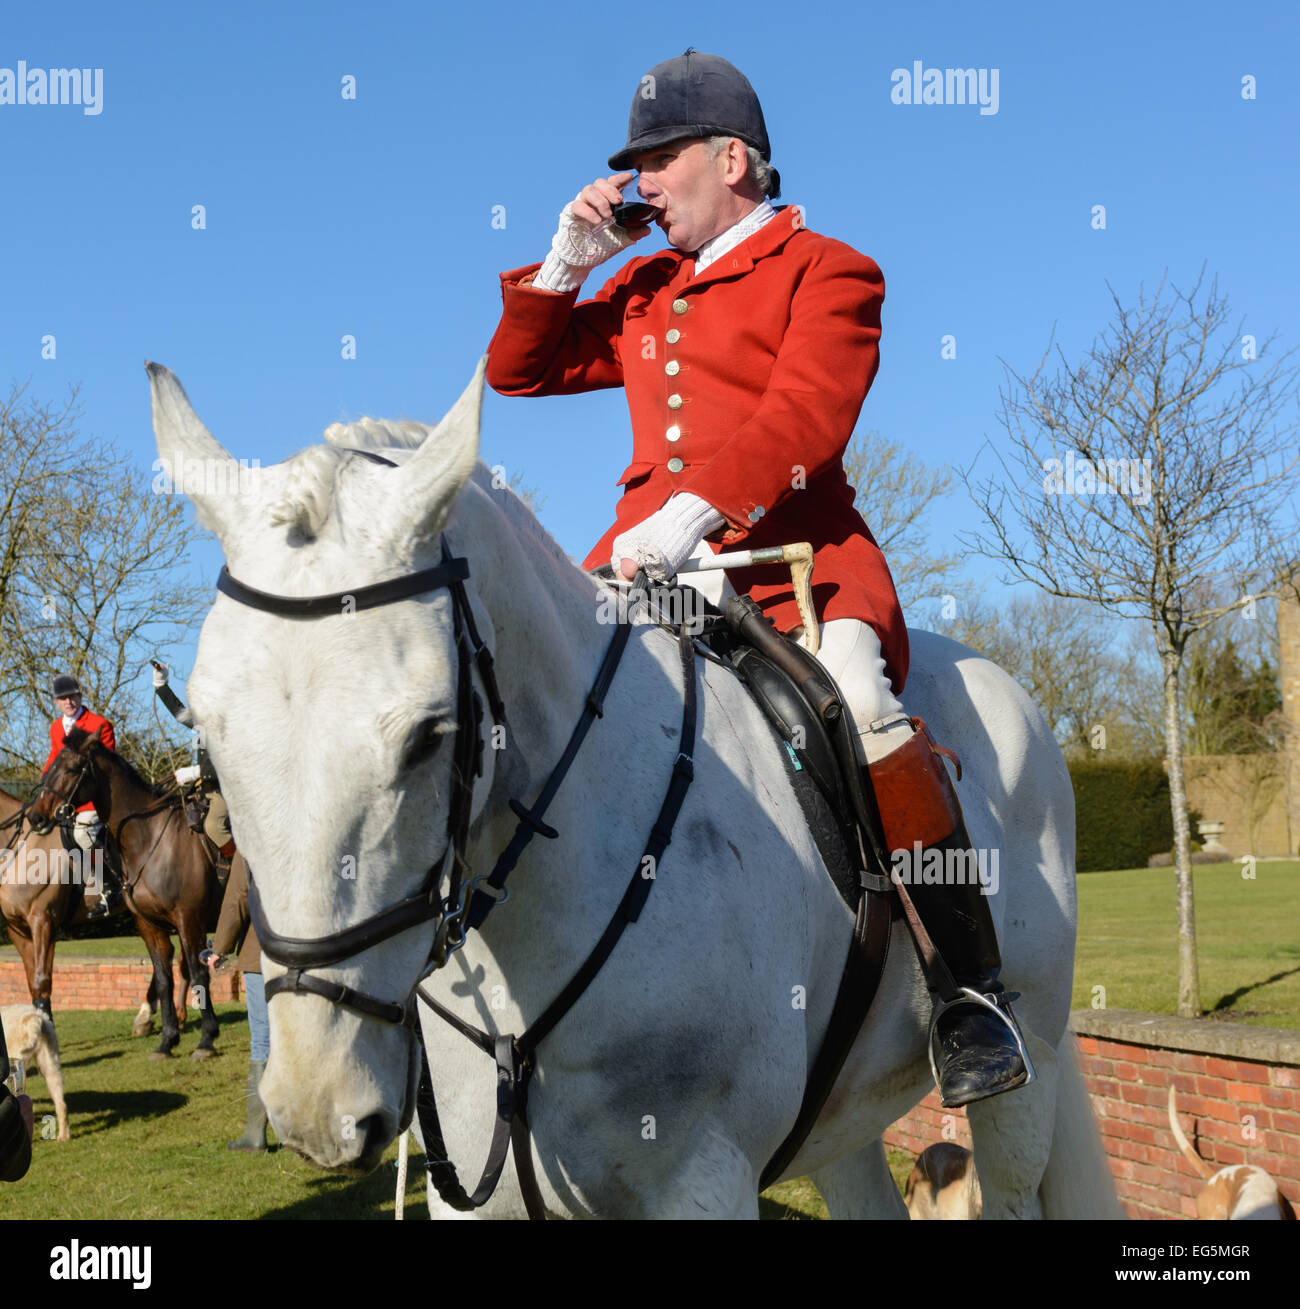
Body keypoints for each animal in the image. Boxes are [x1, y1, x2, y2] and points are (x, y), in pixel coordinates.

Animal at [22, 733, 223, 1057]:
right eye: (50, 766)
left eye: (71, 769)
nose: (35, 817)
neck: (151, 837)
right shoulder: (149, 924)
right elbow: (164, 978)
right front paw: (167, 1040)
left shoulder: (189, 918)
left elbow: (198, 971)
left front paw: (207, 1038)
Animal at [149, 358, 1115, 1214]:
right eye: (211, 736)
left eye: (431, 735)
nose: (319, 1104)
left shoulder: (702, 1180)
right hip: (842, 1121)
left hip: (1023, 1075)